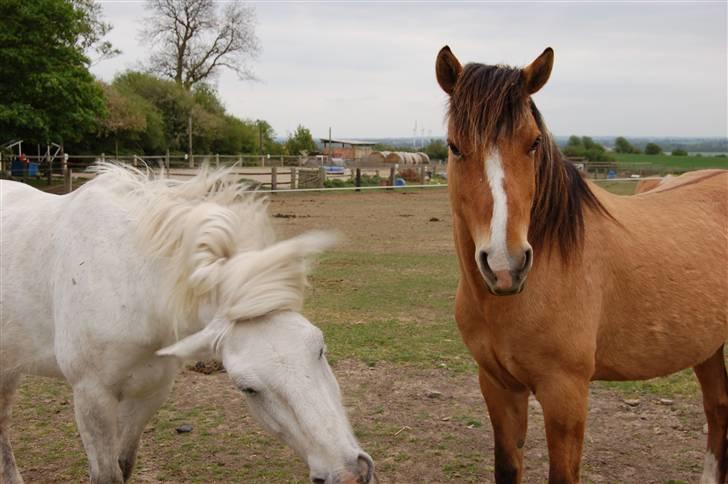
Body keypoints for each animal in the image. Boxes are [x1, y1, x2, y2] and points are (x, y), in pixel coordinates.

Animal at [0, 164, 376, 482]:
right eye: (247, 388)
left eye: (319, 348)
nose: (350, 474)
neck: (130, 281)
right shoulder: (92, 397)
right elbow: (107, 474)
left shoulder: (150, 391)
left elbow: (125, 464)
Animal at [436, 46, 724, 484]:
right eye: (454, 147)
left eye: (534, 143)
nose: (506, 265)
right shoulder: (498, 387)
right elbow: (507, 467)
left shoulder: (566, 395)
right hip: (708, 346)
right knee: (718, 407)